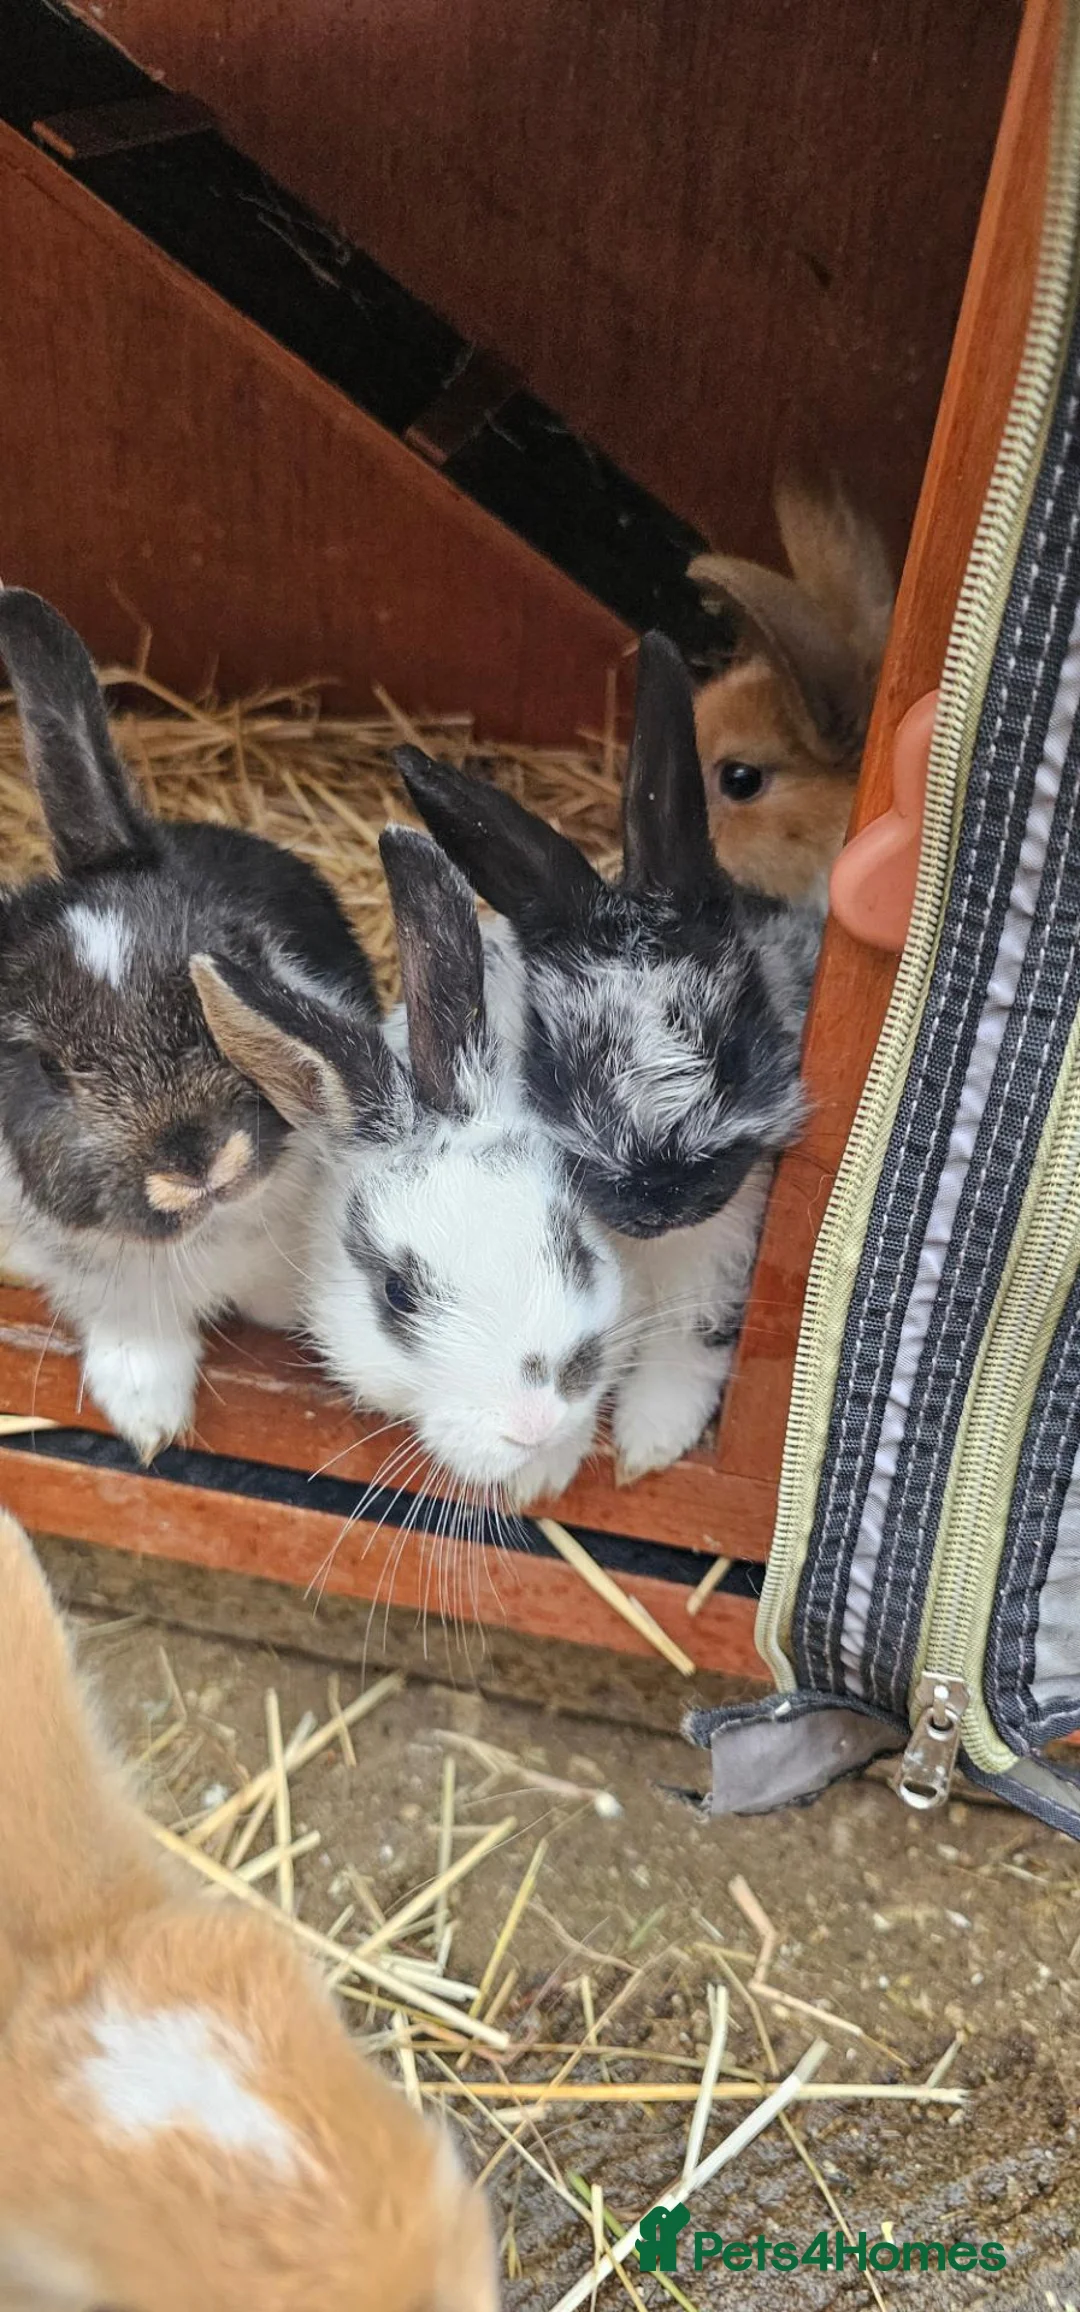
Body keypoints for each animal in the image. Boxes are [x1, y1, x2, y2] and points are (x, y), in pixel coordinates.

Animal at [394, 633, 815, 1482]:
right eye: (560, 1064)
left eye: (735, 1042)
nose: (661, 1197)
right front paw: (551, 1468)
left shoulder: (714, 1288)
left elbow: (682, 1364)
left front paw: (646, 1451)